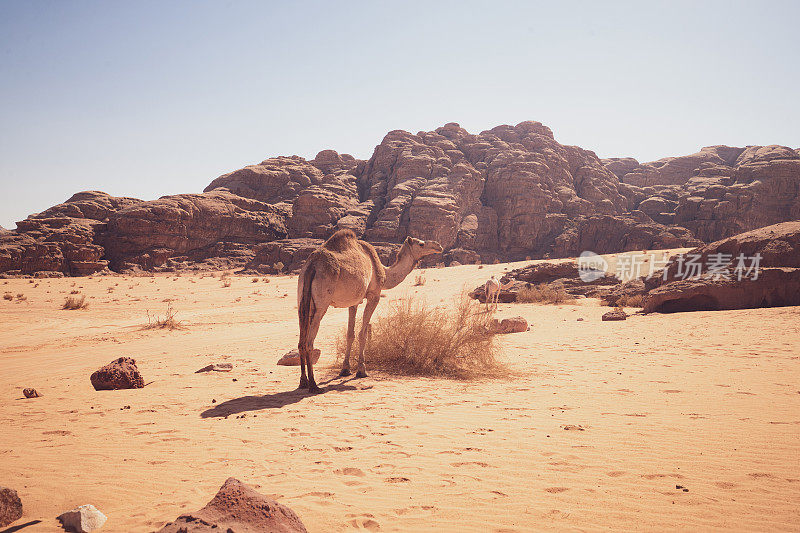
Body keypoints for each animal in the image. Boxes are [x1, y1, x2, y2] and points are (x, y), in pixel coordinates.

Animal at [296, 229, 444, 390]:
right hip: (322, 302)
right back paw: (313, 385)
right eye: (421, 244)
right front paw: (362, 371)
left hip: (303, 301)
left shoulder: (354, 301)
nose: (439, 246)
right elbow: (363, 333)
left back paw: (303, 381)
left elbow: (350, 334)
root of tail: (312, 266)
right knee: (309, 341)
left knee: (301, 341)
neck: (385, 273)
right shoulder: (374, 295)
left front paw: (345, 369)